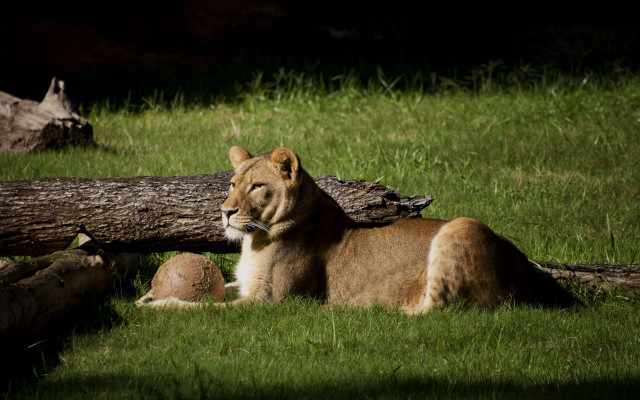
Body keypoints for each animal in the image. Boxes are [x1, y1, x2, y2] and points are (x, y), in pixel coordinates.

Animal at [141, 146, 572, 312]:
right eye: (231, 184)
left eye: (257, 186)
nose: (226, 212)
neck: (256, 237)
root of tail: (523, 267)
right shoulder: (249, 288)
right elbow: (221, 292)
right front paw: (148, 294)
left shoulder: (274, 303)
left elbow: (204, 309)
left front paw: (161, 306)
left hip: (463, 227)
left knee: (438, 308)